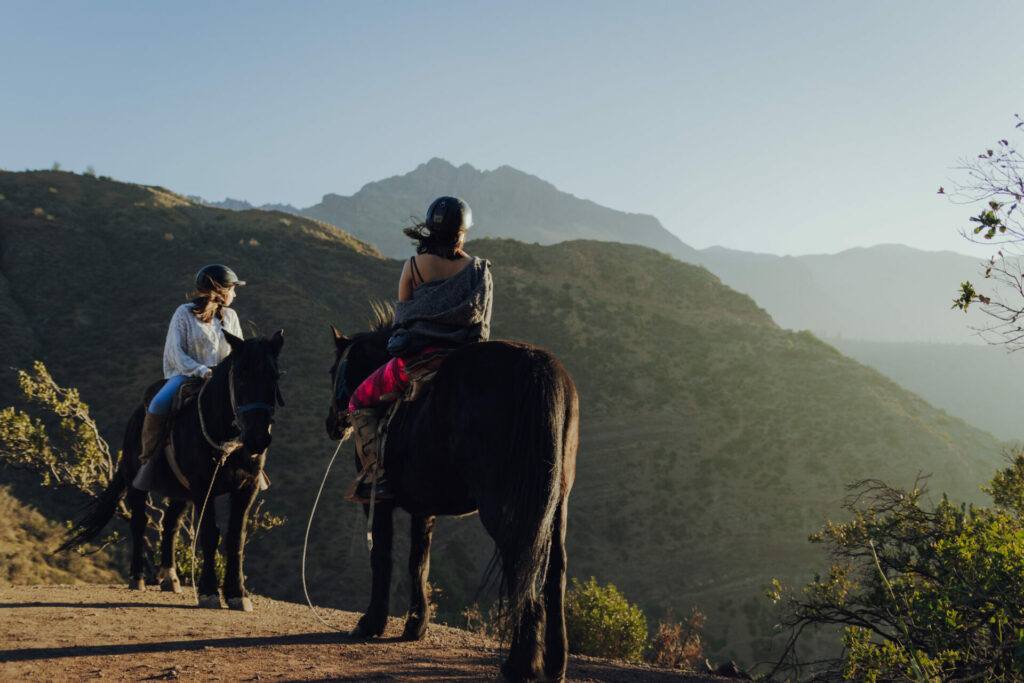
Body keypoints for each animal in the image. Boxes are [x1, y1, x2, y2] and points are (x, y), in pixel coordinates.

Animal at [60, 329, 284, 610]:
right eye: (241, 374)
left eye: (275, 376)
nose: (257, 438)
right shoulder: (203, 487)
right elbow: (209, 535)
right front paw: (209, 592)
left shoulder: (246, 488)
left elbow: (236, 538)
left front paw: (237, 594)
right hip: (136, 483)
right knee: (139, 523)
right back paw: (137, 578)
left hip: (180, 492)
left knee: (170, 524)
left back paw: (170, 578)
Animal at [327, 319, 585, 683]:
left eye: (333, 369)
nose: (332, 425)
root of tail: (535, 365)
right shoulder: (424, 506)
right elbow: (419, 562)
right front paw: (415, 626)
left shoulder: (378, 502)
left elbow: (382, 556)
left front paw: (371, 623)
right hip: (556, 503)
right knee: (554, 572)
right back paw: (555, 663)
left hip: (504, 505)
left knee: (521, 568)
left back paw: (520, 665)